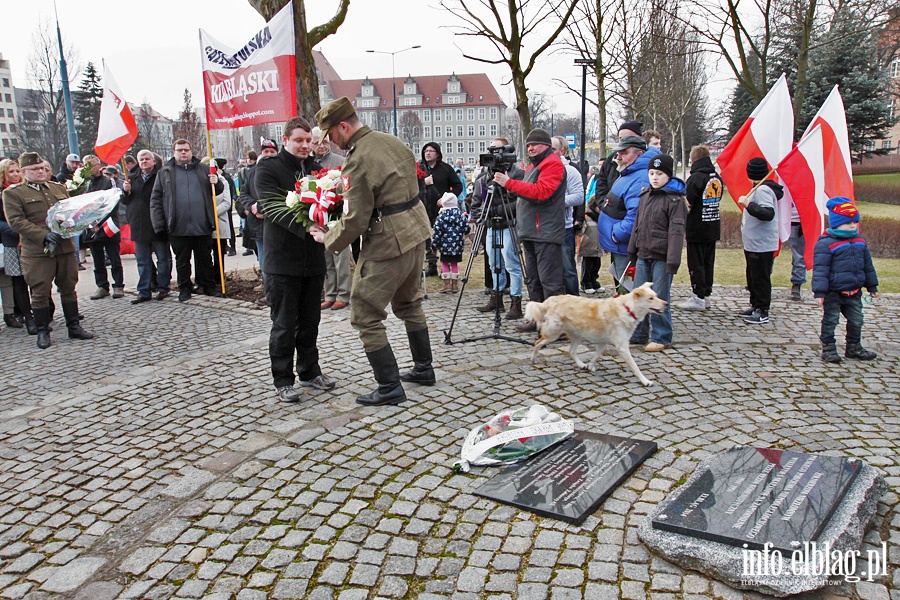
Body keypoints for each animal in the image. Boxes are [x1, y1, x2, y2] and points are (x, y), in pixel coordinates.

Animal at [520, 284, 668, 386]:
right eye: (651, 298)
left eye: (656, 295)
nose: (666, 303)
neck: (627, 308)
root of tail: (548, 301)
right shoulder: (622, 347)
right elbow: (635, 367)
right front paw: (645, 381)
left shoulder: (603, 342)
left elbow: (596, 355)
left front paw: (591, 366)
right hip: (553, 333)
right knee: (537, 343)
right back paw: (533, 358)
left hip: (577, 335)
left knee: (571, 351)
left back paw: (581, 365)